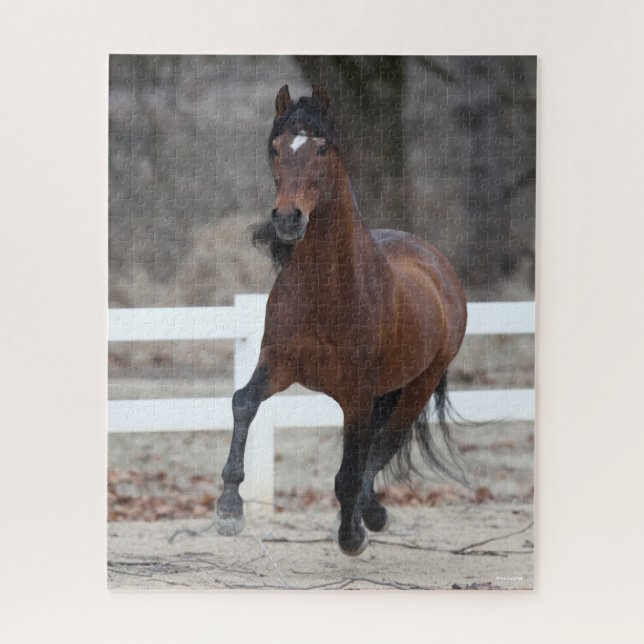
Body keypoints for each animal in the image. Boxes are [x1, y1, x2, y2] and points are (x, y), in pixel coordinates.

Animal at [214, 84, 468, 556]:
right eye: (276, 148)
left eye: (321, 148)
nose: (288, 219)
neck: (327, 293)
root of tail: (436, 264)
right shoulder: (279, 364)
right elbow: (243, 402)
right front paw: (228, 508)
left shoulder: (357, 394)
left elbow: (352, 466)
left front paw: (351, 536)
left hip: (418, 386)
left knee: (385, 443)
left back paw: (369, 517)